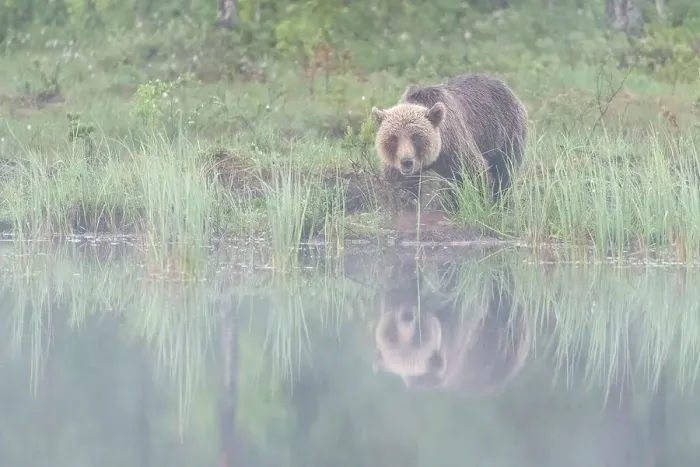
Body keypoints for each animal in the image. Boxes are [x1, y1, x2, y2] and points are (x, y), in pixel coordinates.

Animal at [371, 73, 528, 204]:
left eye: (416, 137)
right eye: (393, 138)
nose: (406, 162)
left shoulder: (455, 147)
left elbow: (475, 174)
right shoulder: (396, 167)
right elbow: (401, 189)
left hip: (505, 132)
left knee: (505, 170)